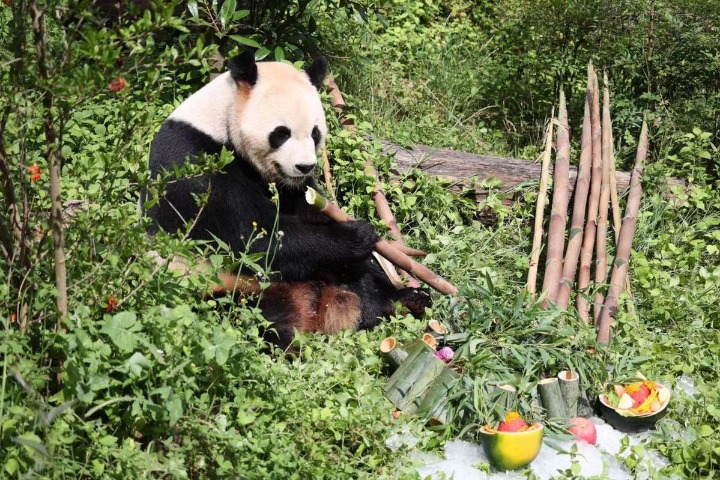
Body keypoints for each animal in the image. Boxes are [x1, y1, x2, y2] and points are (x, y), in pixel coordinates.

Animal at [146, 50, 428, 346]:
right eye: (281, 133)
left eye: (315, 133)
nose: (304, 167)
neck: (220, 120)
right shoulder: (193, 159)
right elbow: (253, 238)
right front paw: (356, 234)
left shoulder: (290, 187)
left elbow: (305, 211)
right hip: (216, 287)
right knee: (254, 319)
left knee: (359, 279)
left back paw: (402, 300)